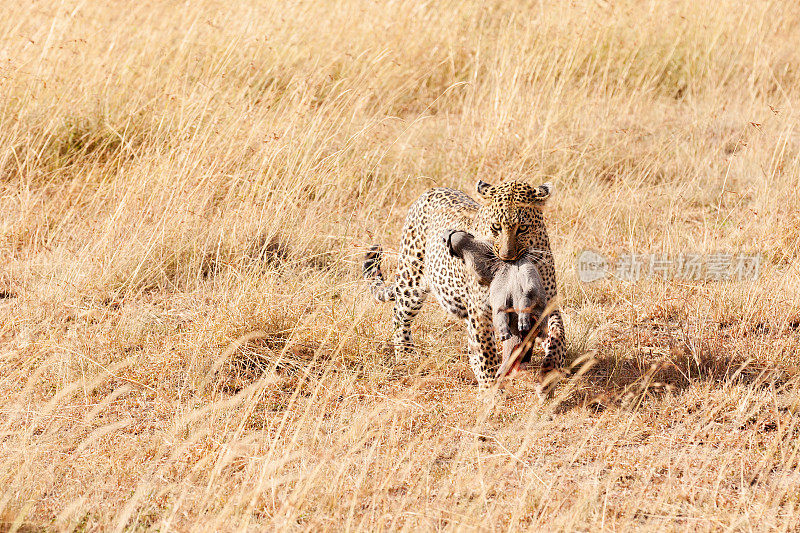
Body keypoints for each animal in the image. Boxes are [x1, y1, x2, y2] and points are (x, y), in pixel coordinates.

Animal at [362, 181, 564, 392]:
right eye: (496, 227)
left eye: (523, 228)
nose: (507, 257)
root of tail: (430, 191)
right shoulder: (480, 310)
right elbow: (486, 351)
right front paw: (490, 391)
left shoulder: (549, 303)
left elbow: (558, 335)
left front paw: (550, 369)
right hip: (411, 281)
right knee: (399, 316)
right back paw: (406, 355)